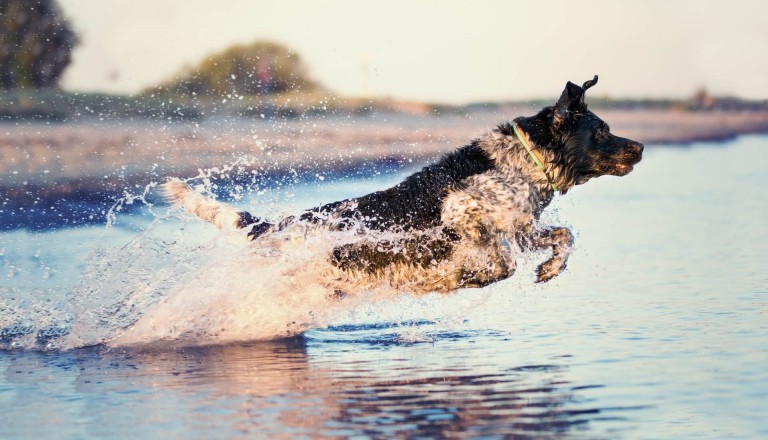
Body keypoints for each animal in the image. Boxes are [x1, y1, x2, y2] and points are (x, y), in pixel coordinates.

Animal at [165, 76, 644, 296]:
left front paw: (549, 268)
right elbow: (499, 261)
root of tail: (277, 225)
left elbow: (564, 236)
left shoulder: (522, 227)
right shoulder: (462, 212)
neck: (522, 163)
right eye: (602, 131)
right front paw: (470, 275)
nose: (640, 146)